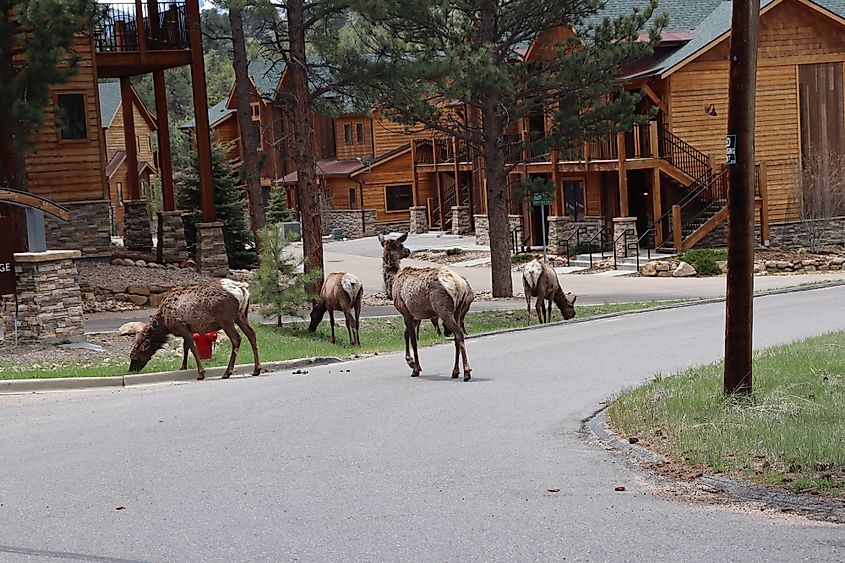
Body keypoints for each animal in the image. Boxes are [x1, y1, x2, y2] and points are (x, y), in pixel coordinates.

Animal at [128, 280, 260, 382]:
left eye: (134, 357)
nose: (131, 371)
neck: (164, 323)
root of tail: (242, 290)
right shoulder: (188, 328)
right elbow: (185, 347)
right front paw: (183, 367)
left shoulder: (181, 327)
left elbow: (192, 347)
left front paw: (200, 373)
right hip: (241, 315)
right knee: (252, 334)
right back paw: (256, 369)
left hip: (226, 319)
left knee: (236, 339)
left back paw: (227, 372)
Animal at [378, 231, 472, 382]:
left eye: (401, 244)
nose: (408, 250)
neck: (392, 283)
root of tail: (459, 285)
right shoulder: (415, 315)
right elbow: (406, 334)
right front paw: (410, 362)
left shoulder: (405, 311)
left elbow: (413, 340)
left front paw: (415, 368)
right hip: (458, 310)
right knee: (457, 337)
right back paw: (455, 371)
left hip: (444, 309)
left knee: (459, 333)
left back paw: (467, 372)